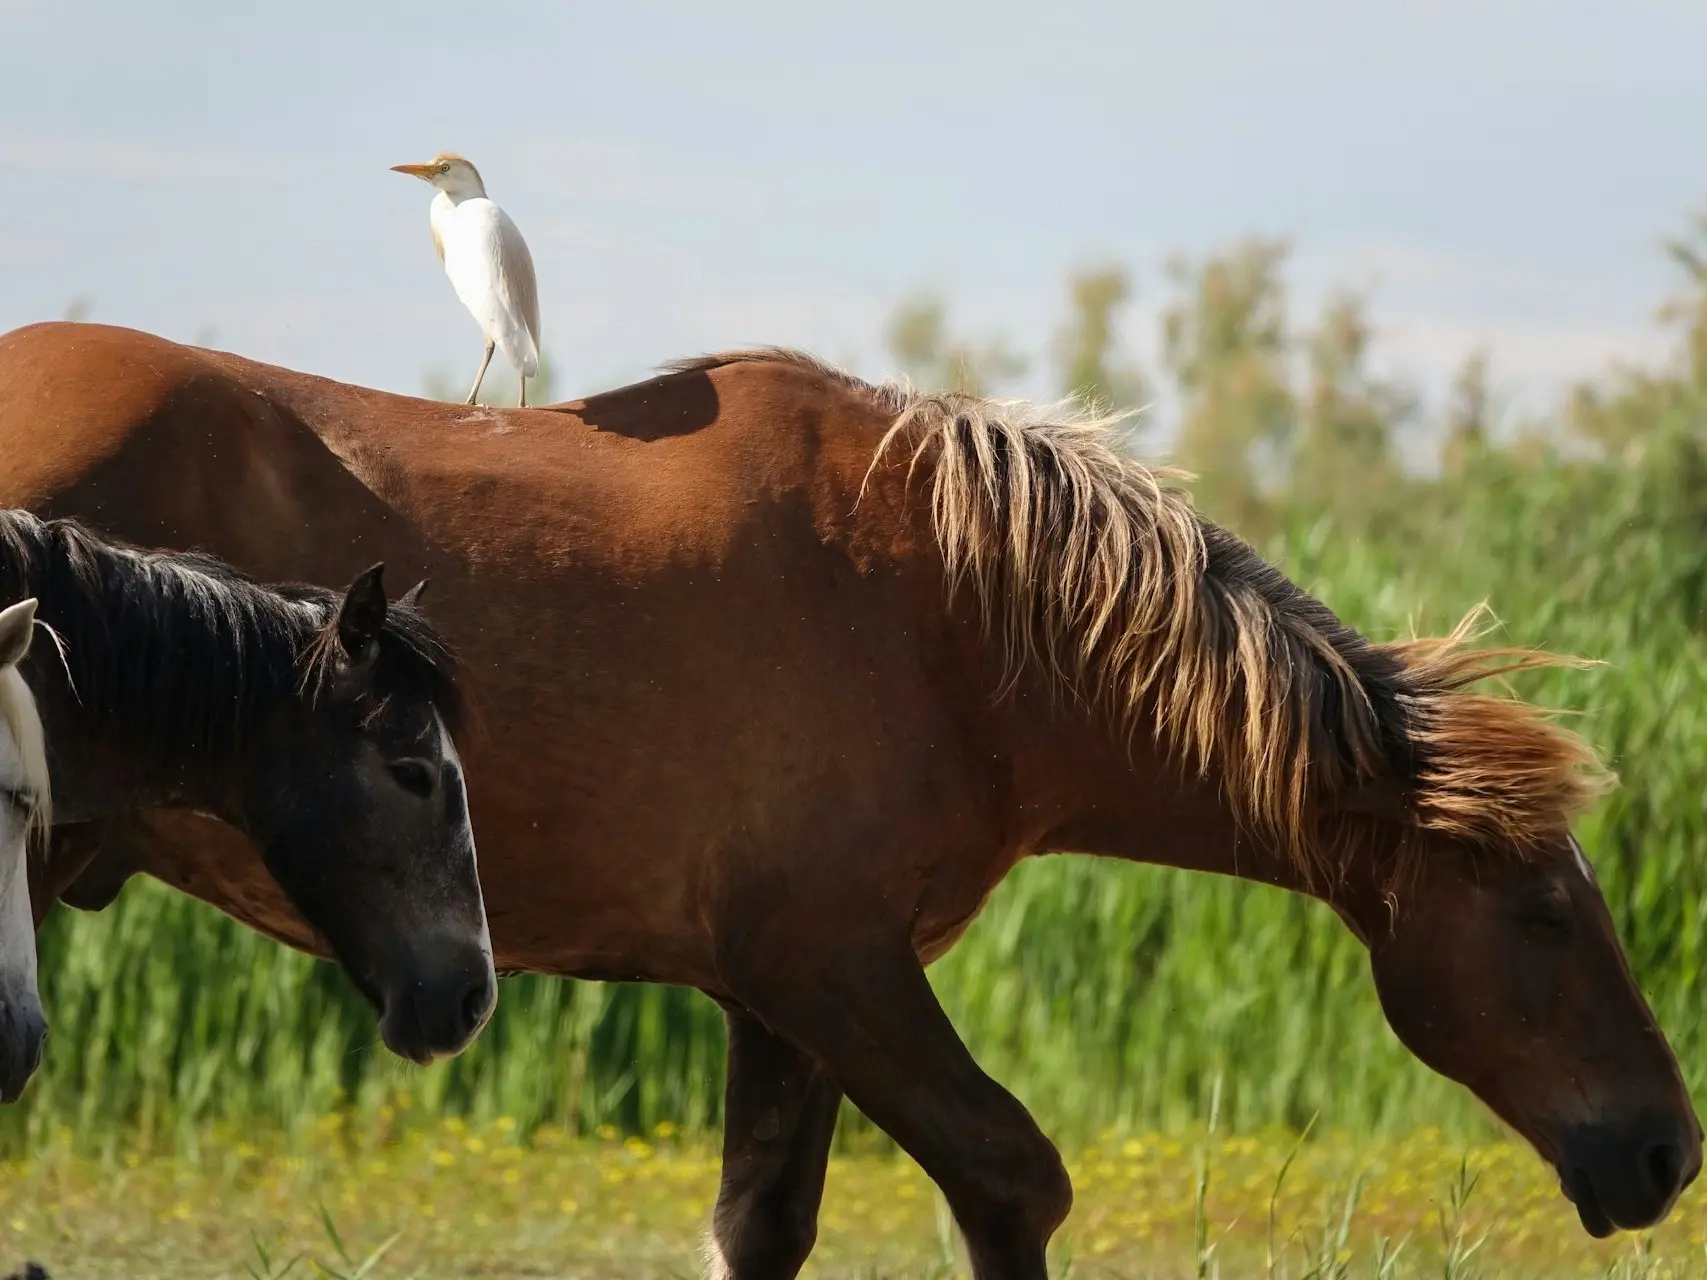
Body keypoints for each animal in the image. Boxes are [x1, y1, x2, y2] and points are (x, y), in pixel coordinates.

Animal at [0, 320, 1693, 1280]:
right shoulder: (834, 966)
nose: (1666, 1152)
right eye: (1545, 915)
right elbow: (1013, 1179)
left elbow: (763, 1229)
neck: (951, 613)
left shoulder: (782, 999)